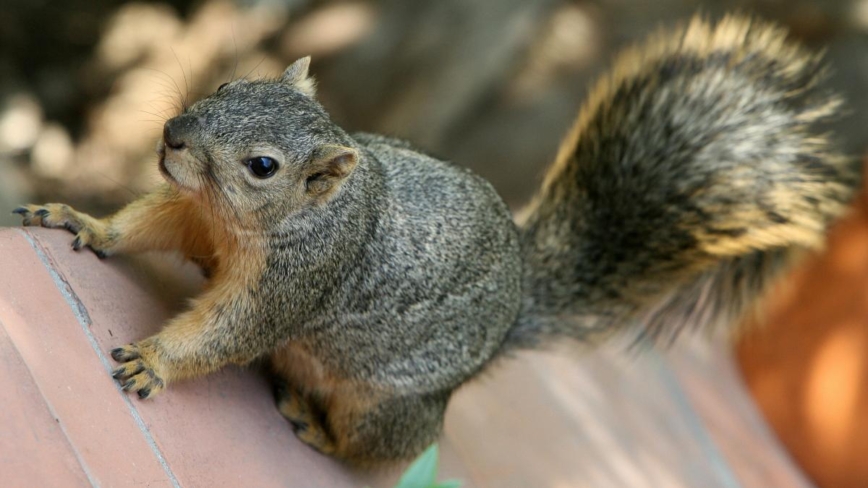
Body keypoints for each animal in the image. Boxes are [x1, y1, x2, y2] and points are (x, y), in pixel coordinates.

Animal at [17, 16, 856, 466]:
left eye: (263, 166)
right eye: (231, 87)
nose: (172, 134)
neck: (253, 221)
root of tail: (512, 316)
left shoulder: (294, 285)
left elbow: (227, 333)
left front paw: (155, 362)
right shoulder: (194, 216)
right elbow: (143, 224)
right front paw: (82, 221)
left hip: (387, 409)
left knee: (382, 454)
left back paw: (315, 428)